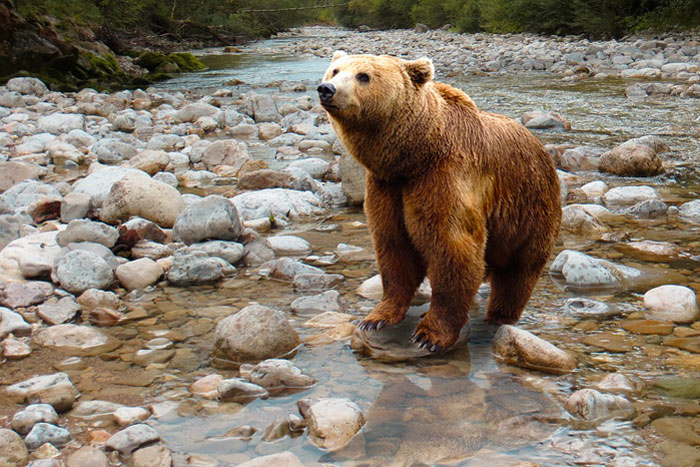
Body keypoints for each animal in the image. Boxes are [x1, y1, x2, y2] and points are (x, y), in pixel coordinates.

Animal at [320, 51, 560, 352]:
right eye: (335, 70)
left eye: (363, 76)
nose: (327, 89)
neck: (414, 154)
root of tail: (541, 147)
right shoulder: (387, 187)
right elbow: (393, 247)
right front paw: (376, 318)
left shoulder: (443, 177)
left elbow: (452, 247)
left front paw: (429, 335)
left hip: (529, 208)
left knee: (518, 271)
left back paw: (499, 315)